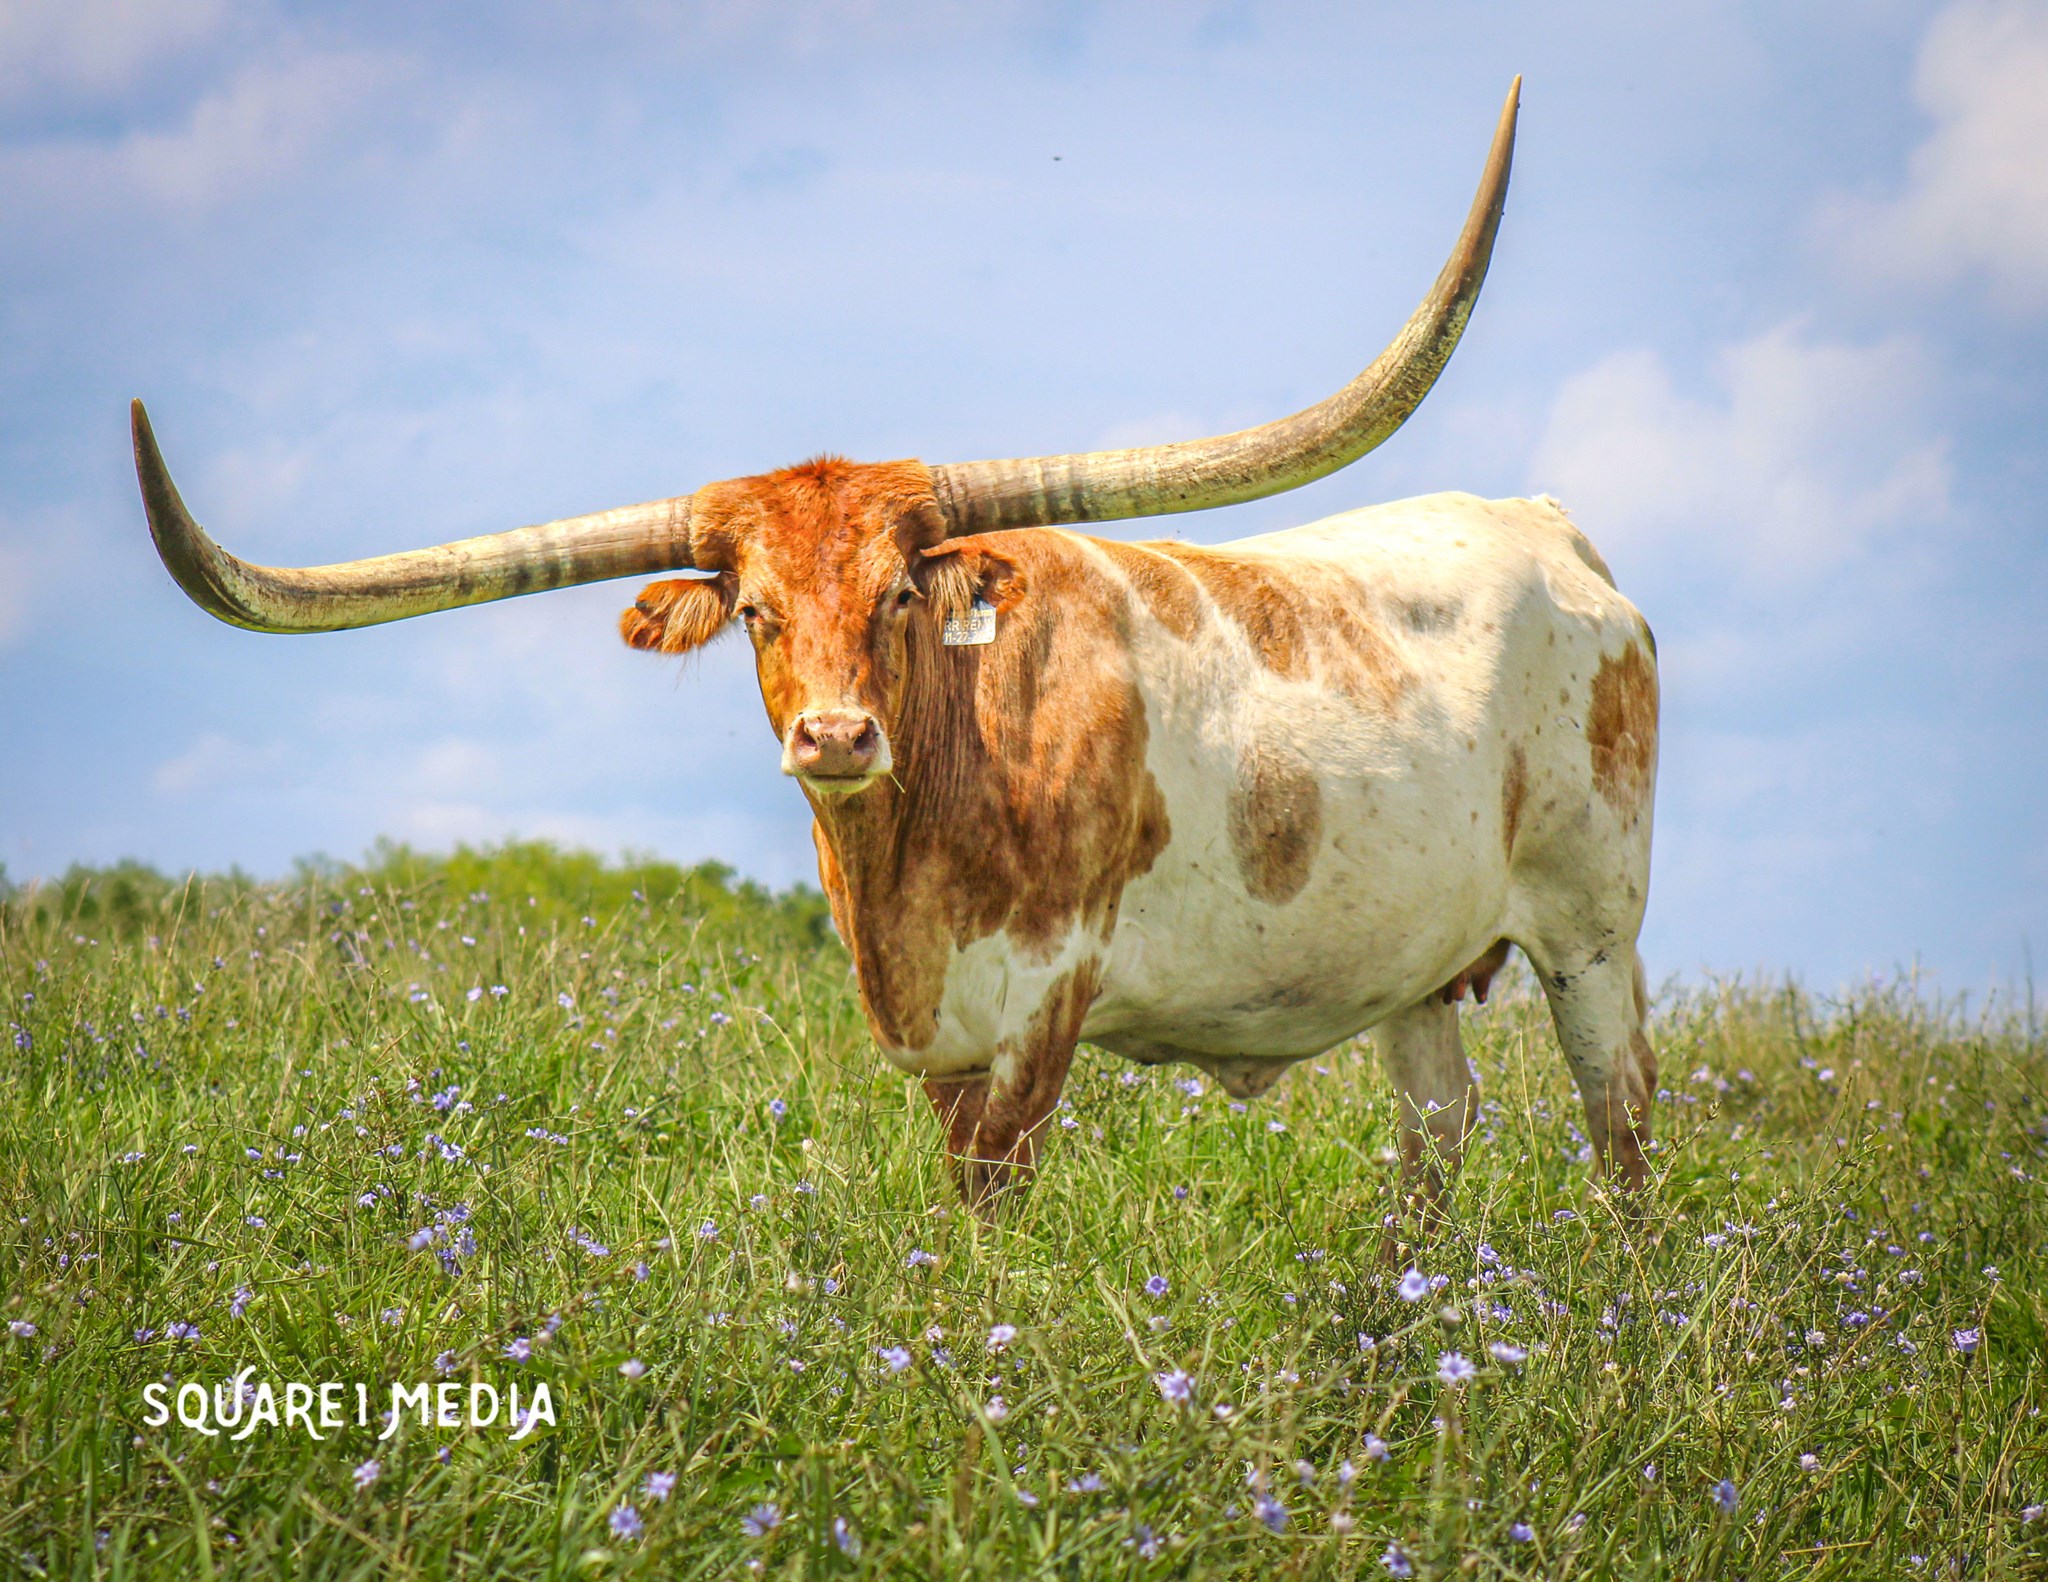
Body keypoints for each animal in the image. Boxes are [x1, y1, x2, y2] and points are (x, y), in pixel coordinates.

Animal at [129, 79, 1662, 1237]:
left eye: (898, 599)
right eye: (753, 610)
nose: (833, 737)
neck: (919, 844)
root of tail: (1547, 529)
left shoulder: (1044, 1007)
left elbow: (991, 1206)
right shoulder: (939, 1043)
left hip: (1592, 929)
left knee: (1624, 1118)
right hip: (1419, 965)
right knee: (1438, 1129)